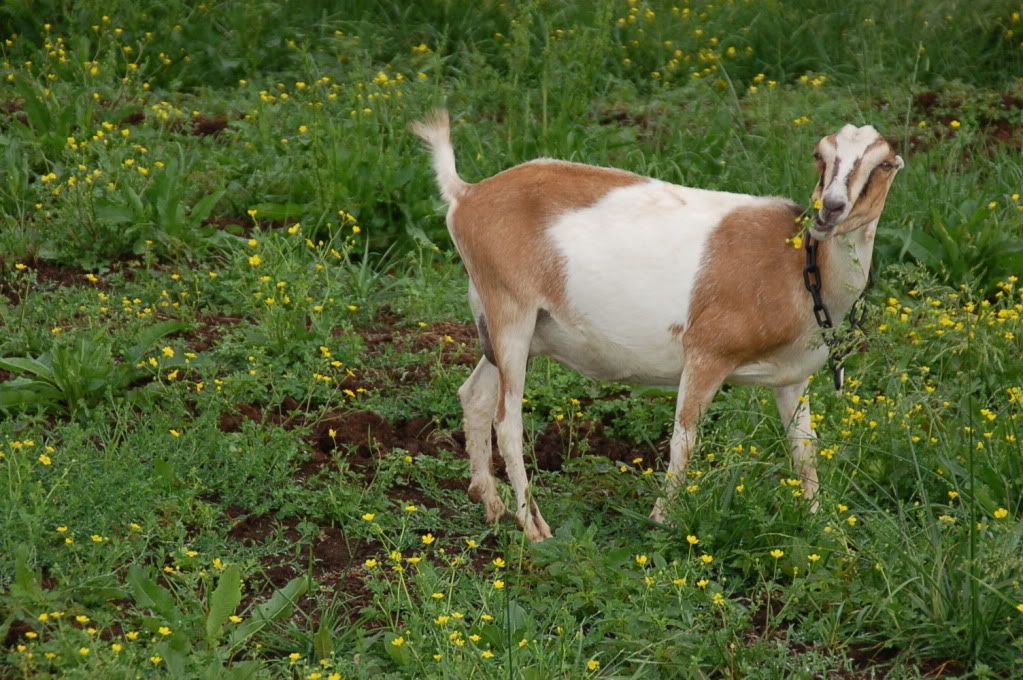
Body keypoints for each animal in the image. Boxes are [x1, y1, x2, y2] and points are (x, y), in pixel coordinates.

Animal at [413, 110, 903, 541]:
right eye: (822, 156)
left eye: (883, 164)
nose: (831, 210)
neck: (797, 263)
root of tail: (467, 194)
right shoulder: (707, 355)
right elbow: (683, 441)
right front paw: (662, 522)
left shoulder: (791, 379)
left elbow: (804, 449)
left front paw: (823, 526)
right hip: (511, 314)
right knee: (507, 420)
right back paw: (533, 527)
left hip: (507, 331)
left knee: (474, 396)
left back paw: (492, 505)